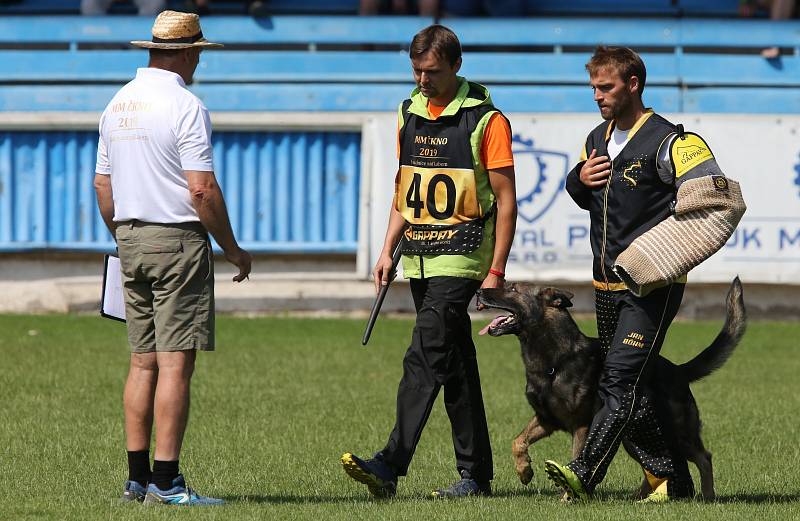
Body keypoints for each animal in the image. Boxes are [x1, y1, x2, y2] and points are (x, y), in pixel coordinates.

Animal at [476, 276, 744, 500]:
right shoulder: (546, 419)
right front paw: (524, 471)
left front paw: (568, 494)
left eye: (513, 289)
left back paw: (707, 495)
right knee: (655, 464)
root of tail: (677, 370)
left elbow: (577, 458)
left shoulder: (581, 426)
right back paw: (639, 497)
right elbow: (517, 441)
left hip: (676, 434)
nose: (479, 291)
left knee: (703, 457)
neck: (555, 360)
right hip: (634, 437)